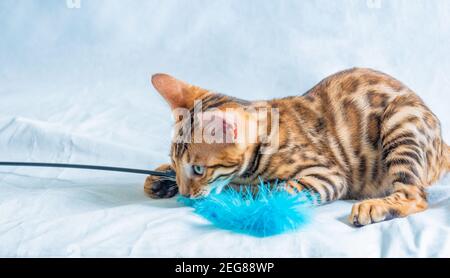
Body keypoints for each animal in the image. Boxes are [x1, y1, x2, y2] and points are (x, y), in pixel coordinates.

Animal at [145, 68, 450, 227]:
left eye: (198, 169)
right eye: (177, 165)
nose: (186, 194)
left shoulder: (328, 176)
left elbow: (279, 189)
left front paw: (251, 202)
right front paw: (160, 177)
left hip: (401, 122)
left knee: (415, 195)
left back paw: (375, 207)